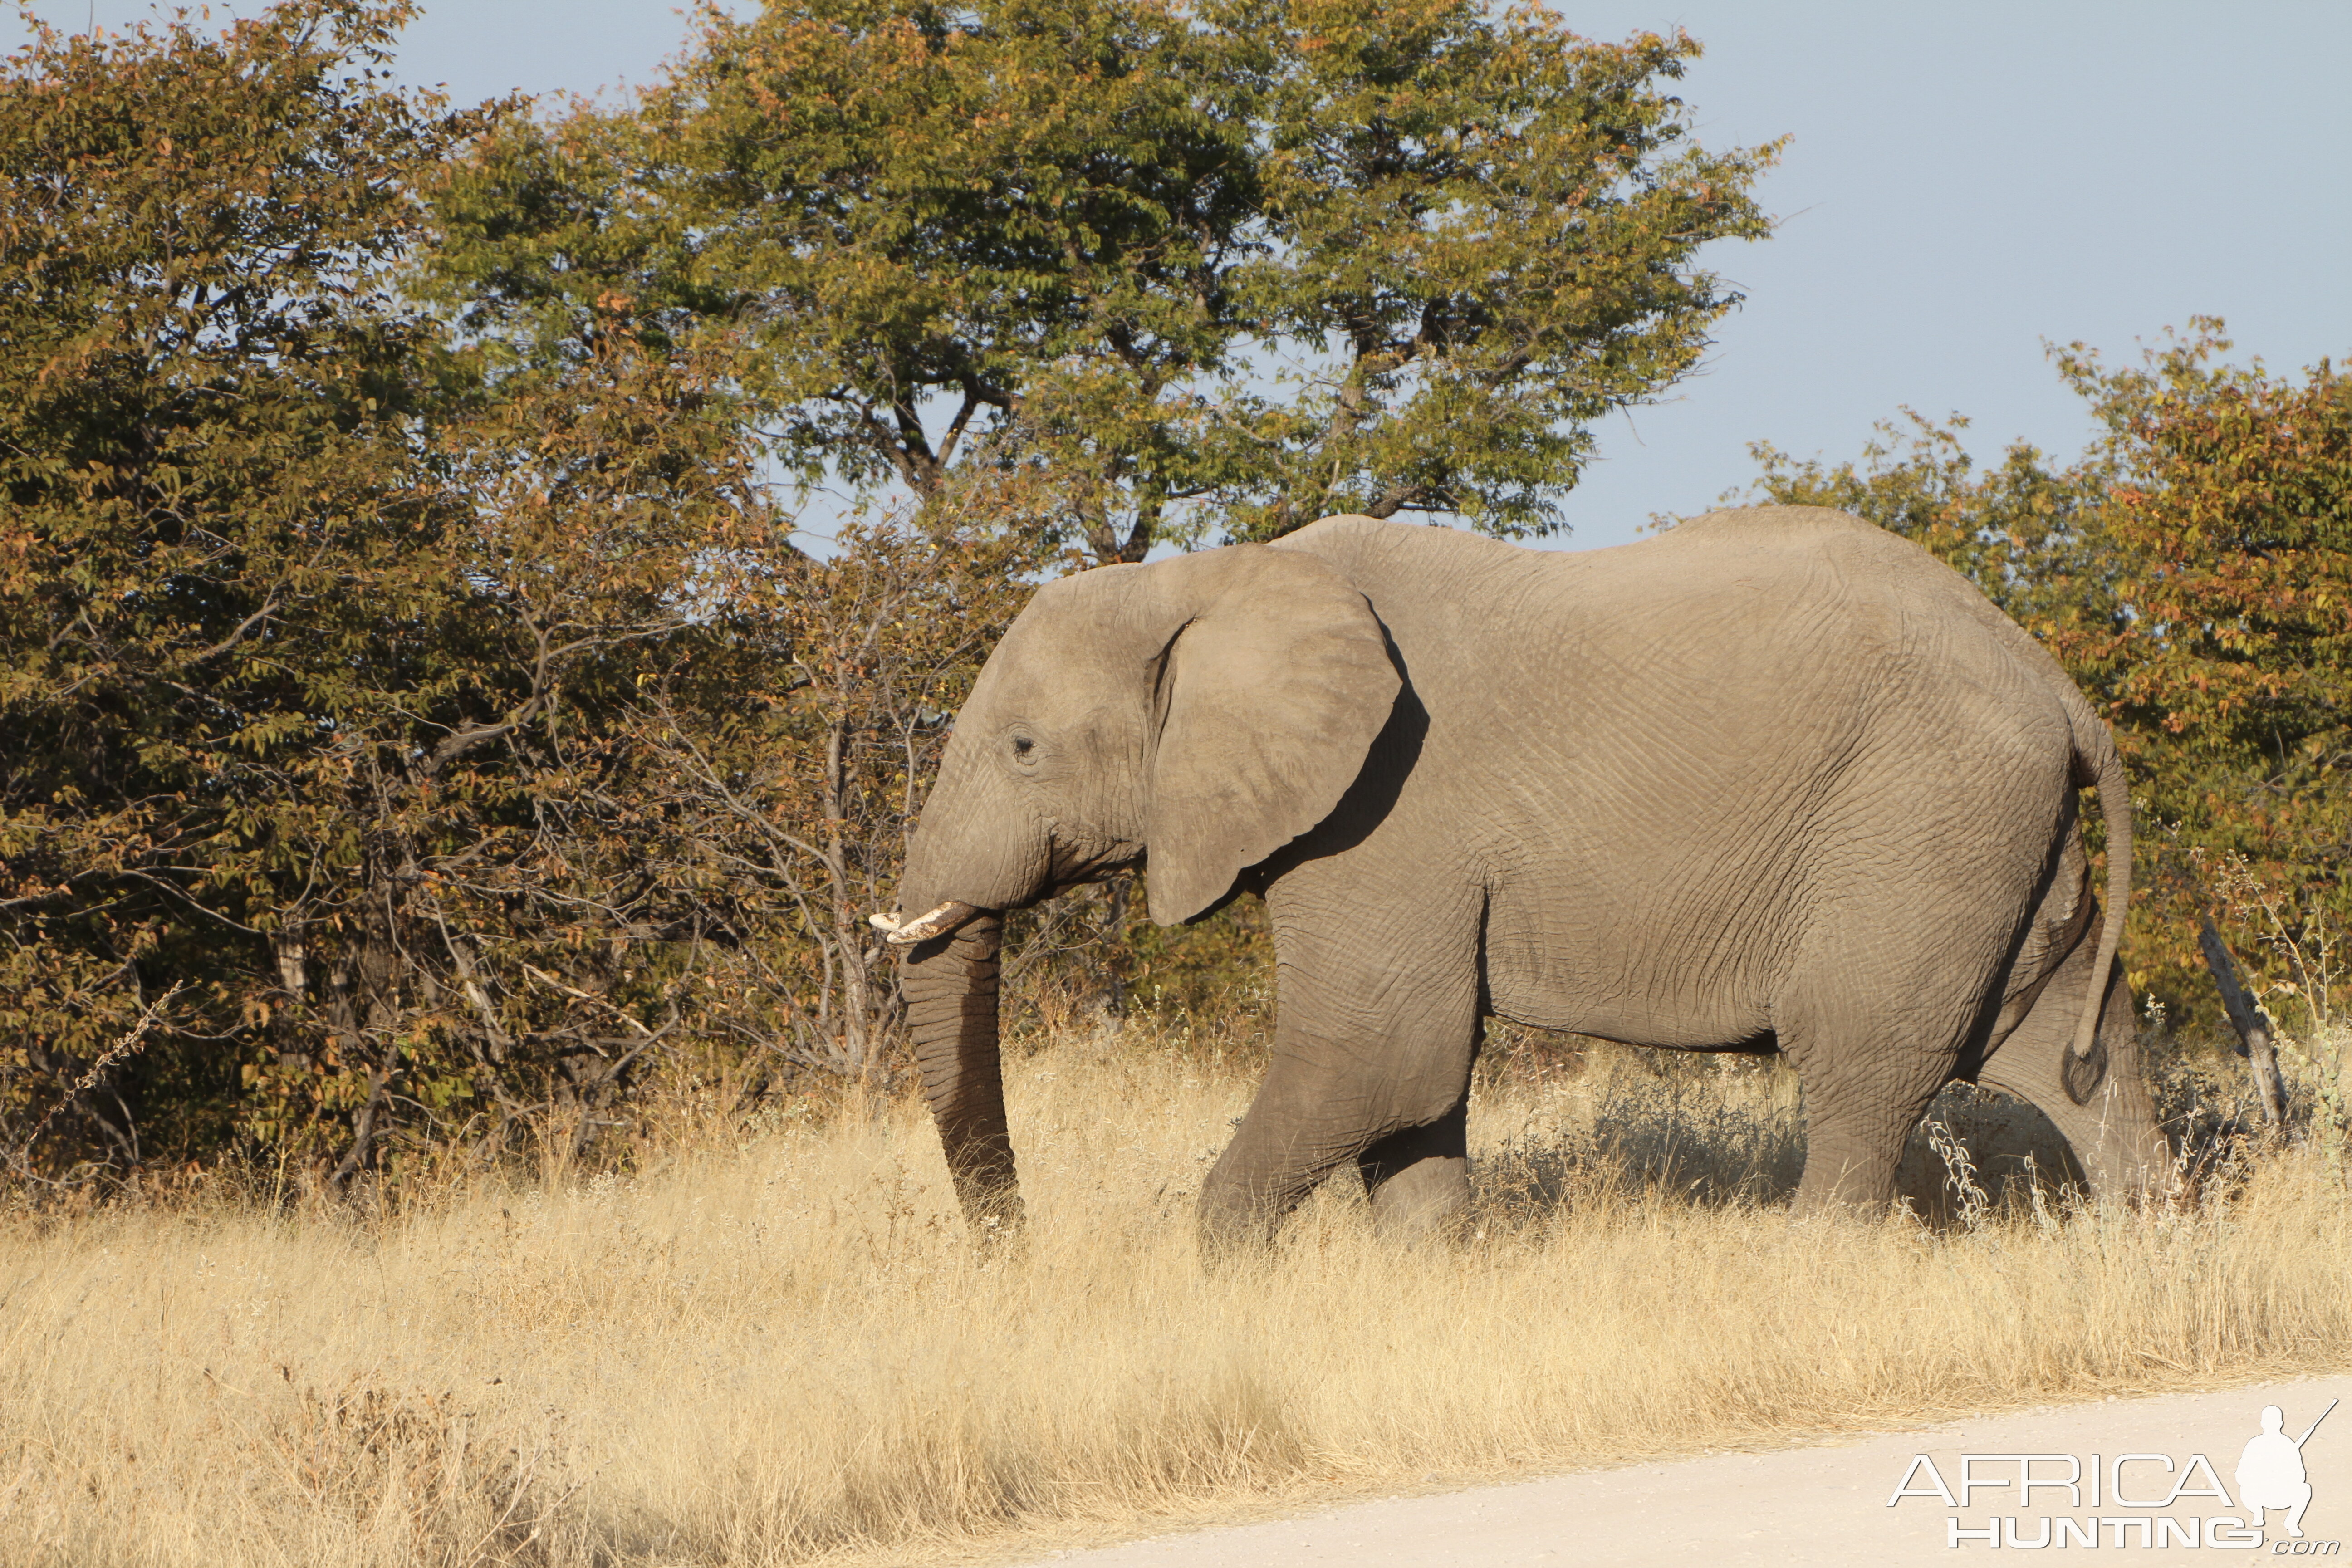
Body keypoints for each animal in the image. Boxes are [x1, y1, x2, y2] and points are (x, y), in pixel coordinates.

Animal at [879, 510, 2164, 1260]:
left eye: (1024, 749)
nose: (1017, 1255)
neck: (1213, 580)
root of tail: (2058, 684)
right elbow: (1410, 1088)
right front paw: (1429, 1280)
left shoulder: (1389, 812)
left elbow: (1383, 1052)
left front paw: (1216, 1284)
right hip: (1991, 836)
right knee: (2061, 1038)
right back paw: (2148, 1244)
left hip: (1915, 820)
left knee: (1862, 1059)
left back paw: (1805, 1273)